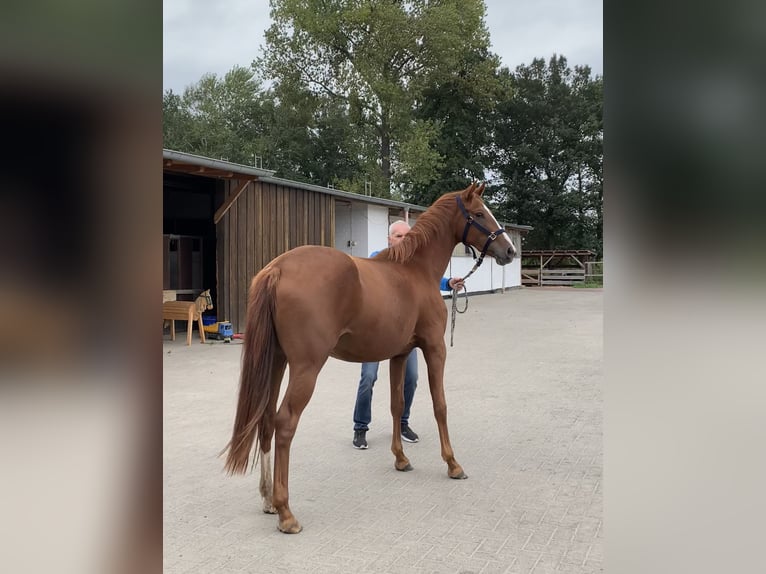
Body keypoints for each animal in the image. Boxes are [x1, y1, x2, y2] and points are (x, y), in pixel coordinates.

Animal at [225, 182, 520, 532]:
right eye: (478, 214)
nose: (509, 251)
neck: (414, 270)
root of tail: (277, 268)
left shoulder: (400, 354)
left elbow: (396, 405)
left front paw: (401, 459)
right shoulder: (435, 348)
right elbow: (440, 405)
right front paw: (453, 463)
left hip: (276, 362)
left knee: (266, 419)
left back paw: (268, 499)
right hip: (306, 368)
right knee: (285, 423)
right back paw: (286, 513)